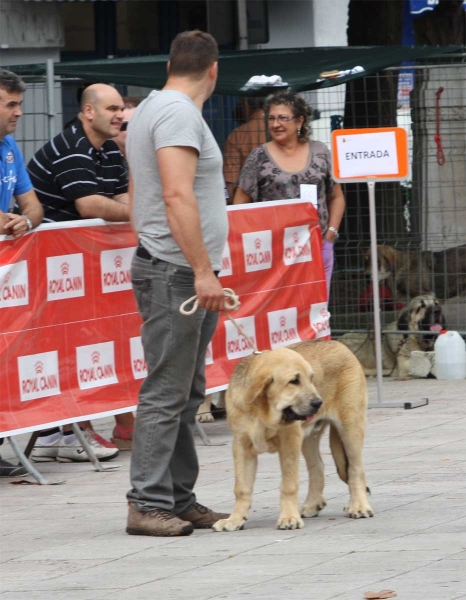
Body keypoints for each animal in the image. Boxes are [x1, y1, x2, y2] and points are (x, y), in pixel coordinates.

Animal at [213, 340, 374, 532]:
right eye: (294, 381)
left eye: (311, 378)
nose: (318, 403)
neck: (263, 411)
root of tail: (338, 343)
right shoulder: (242, 446)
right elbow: (242, 488)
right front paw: (235, 520)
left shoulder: (289, 441)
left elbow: (289, 485)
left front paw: (289, 518)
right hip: (308, 438)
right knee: (317, 466)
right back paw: (313, 504)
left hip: (350, 428)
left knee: (356, 469)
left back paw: (359, 506)